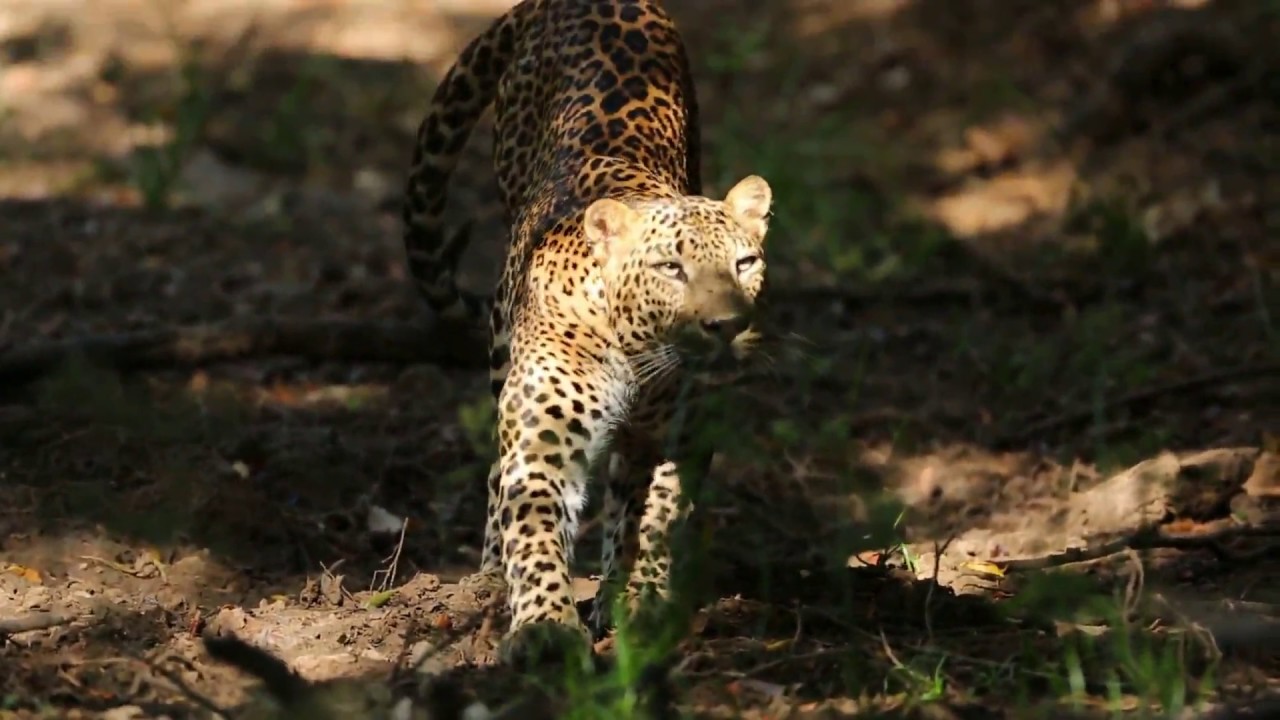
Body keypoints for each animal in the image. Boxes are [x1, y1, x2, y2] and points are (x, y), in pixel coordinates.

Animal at [401, 0, 773, 664]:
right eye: (671, 268)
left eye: (745, 263)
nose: (728, 326)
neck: (632, 353)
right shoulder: (542, 441)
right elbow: (535, 527)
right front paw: (546, 626)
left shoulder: (668, 437)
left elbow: (649, 521)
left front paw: (639, 606)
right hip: (501, 349)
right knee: (496, 478)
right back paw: (488, 580)